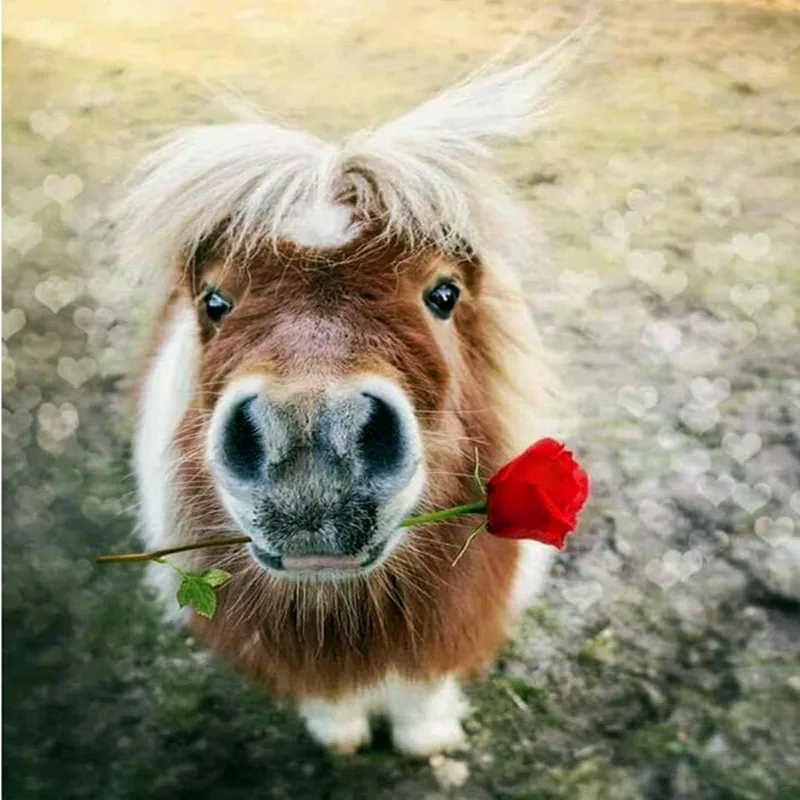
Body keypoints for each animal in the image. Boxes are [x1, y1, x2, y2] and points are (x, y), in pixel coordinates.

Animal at [120, 39, 575, 756]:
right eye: (215, 302)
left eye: (443, 293)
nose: (309, 439)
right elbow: (330, 697)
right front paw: (340, 735)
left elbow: (422, 691)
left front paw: (426, 738)